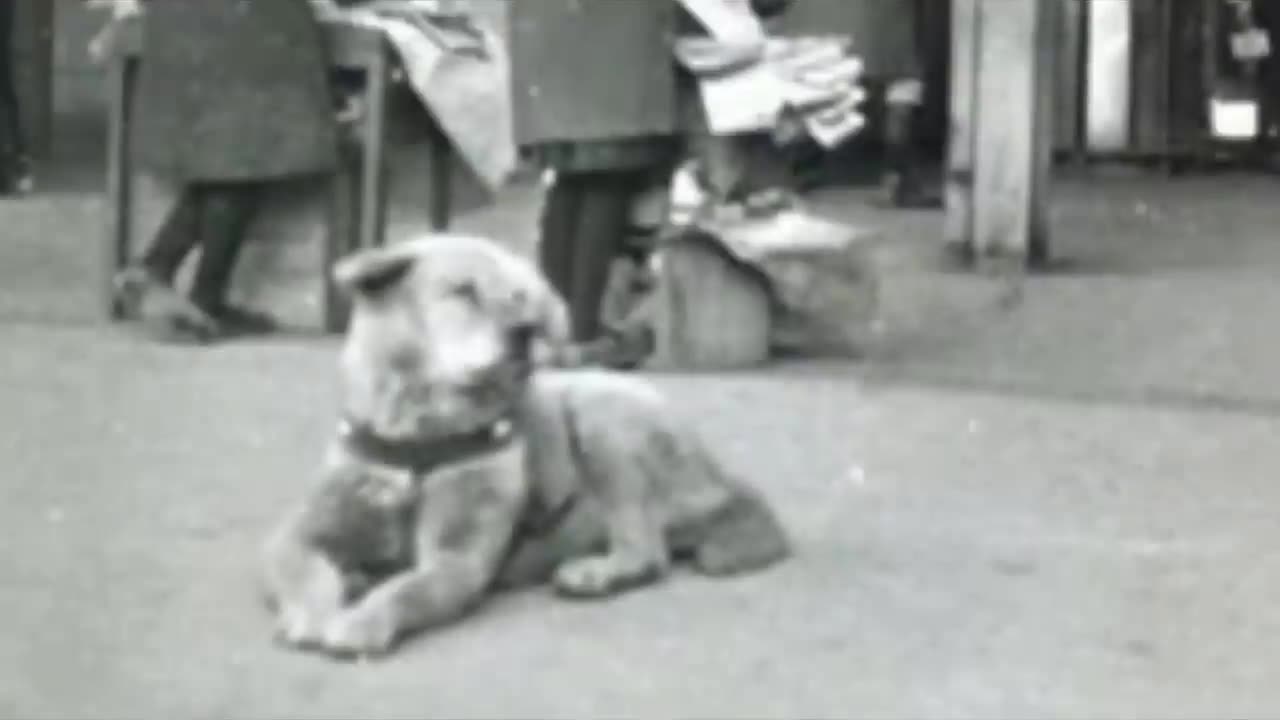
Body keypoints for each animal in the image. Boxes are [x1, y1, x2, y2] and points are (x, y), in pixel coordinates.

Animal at [262, 230, 788, 655]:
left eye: (518, 298)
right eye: (463, 291)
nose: (524, 331)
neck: (420, 436)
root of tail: (722, 476)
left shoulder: (458, 561)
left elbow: (406, 590)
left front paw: (364, 620)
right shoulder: (295, 534)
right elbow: (304, 570)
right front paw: (315, 610)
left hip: (603, 417)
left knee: (648, 552)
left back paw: (597, 573)